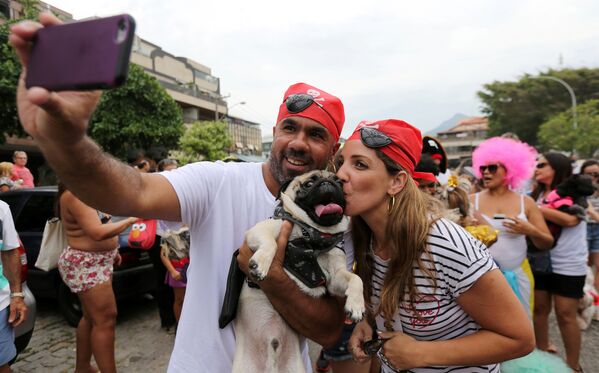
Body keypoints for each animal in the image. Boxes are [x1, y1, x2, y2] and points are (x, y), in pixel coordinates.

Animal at [232, 170, 366, 372]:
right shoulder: (260, 230)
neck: (312, 234)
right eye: (309, 183)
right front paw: (260, 264)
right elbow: (271, 244)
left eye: (340, 182)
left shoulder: (335, 277)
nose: (328, 183)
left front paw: (356, 305)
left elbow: (356, 279)